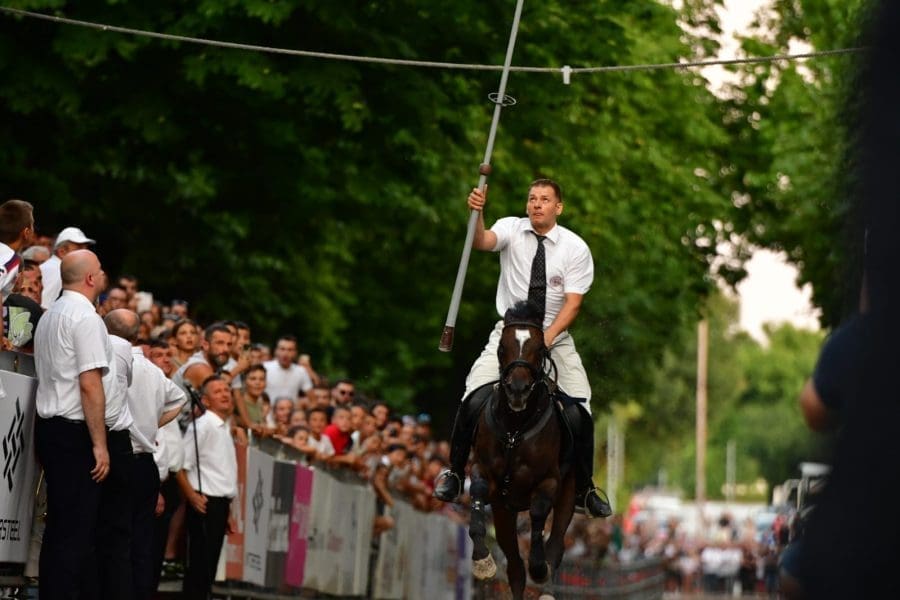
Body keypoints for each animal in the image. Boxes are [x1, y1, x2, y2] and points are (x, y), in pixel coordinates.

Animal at [467, 300, 576, 600]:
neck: (515, 428)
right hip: (504, 510)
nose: (518, 389)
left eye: (539, 348)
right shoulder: (483, 471)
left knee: (556, 543)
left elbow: (539, 515)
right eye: (502, 347)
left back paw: (547, 585)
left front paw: (539, 567)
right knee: (515, 566)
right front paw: (482, 560)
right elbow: (477, 493)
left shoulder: (549, 481)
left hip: (568, 494)